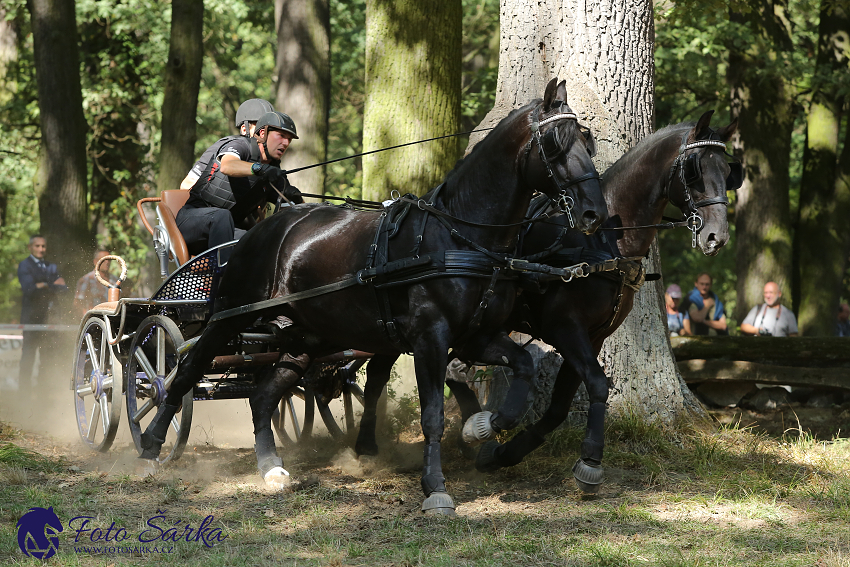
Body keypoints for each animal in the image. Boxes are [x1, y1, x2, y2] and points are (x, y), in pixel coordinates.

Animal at [137, 79, 604, 516]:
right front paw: (436, 487)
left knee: (264, 395)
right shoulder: (430, 339)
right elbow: (432, 413)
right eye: (555, 145)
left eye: (588, 142)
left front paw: (483, 426)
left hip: (305, 338)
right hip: (228, 317)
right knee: (186, 372)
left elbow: (523, 366)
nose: (593, 214)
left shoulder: (478, 336)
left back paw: (270, 467)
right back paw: (151, 444)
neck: (459, 236)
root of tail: (264, 229)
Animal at [354, 110, 740, 492]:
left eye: (728, 171)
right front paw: (590, 460)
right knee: (381, 373)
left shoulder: (592, 335)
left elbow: (560, 405)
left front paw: (503, 453)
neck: (603, 243)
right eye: (695, 170)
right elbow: (597, 384)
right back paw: (367, 445)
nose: (717, 237)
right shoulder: (564, 328)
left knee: (435, 371)